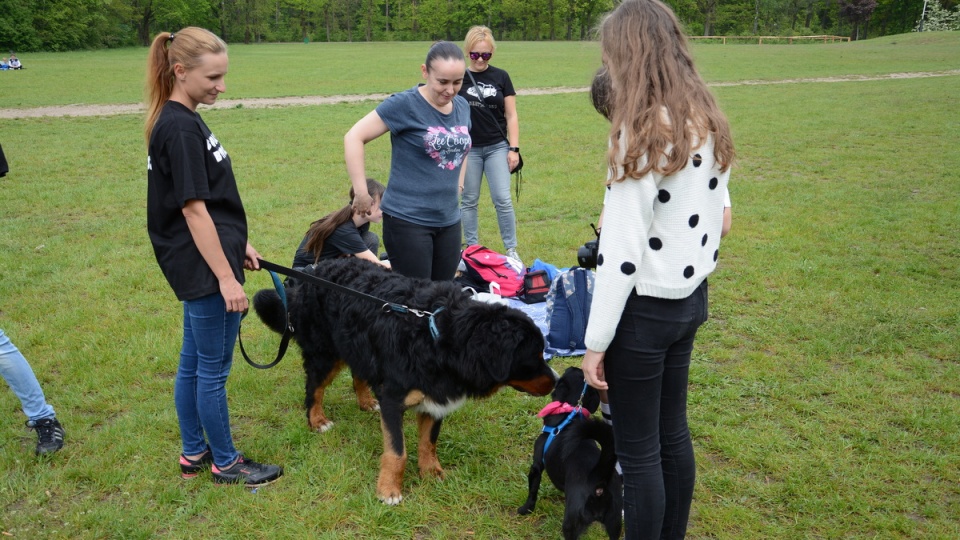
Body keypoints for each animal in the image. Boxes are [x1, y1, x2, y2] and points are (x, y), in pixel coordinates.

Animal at [516, 364, 624, 536]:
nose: (573, 365)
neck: (568, 414)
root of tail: (598, 479)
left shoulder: (536, 466)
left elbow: (532, 490)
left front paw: (526, 509)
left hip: (572, 522)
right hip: (614, 522)